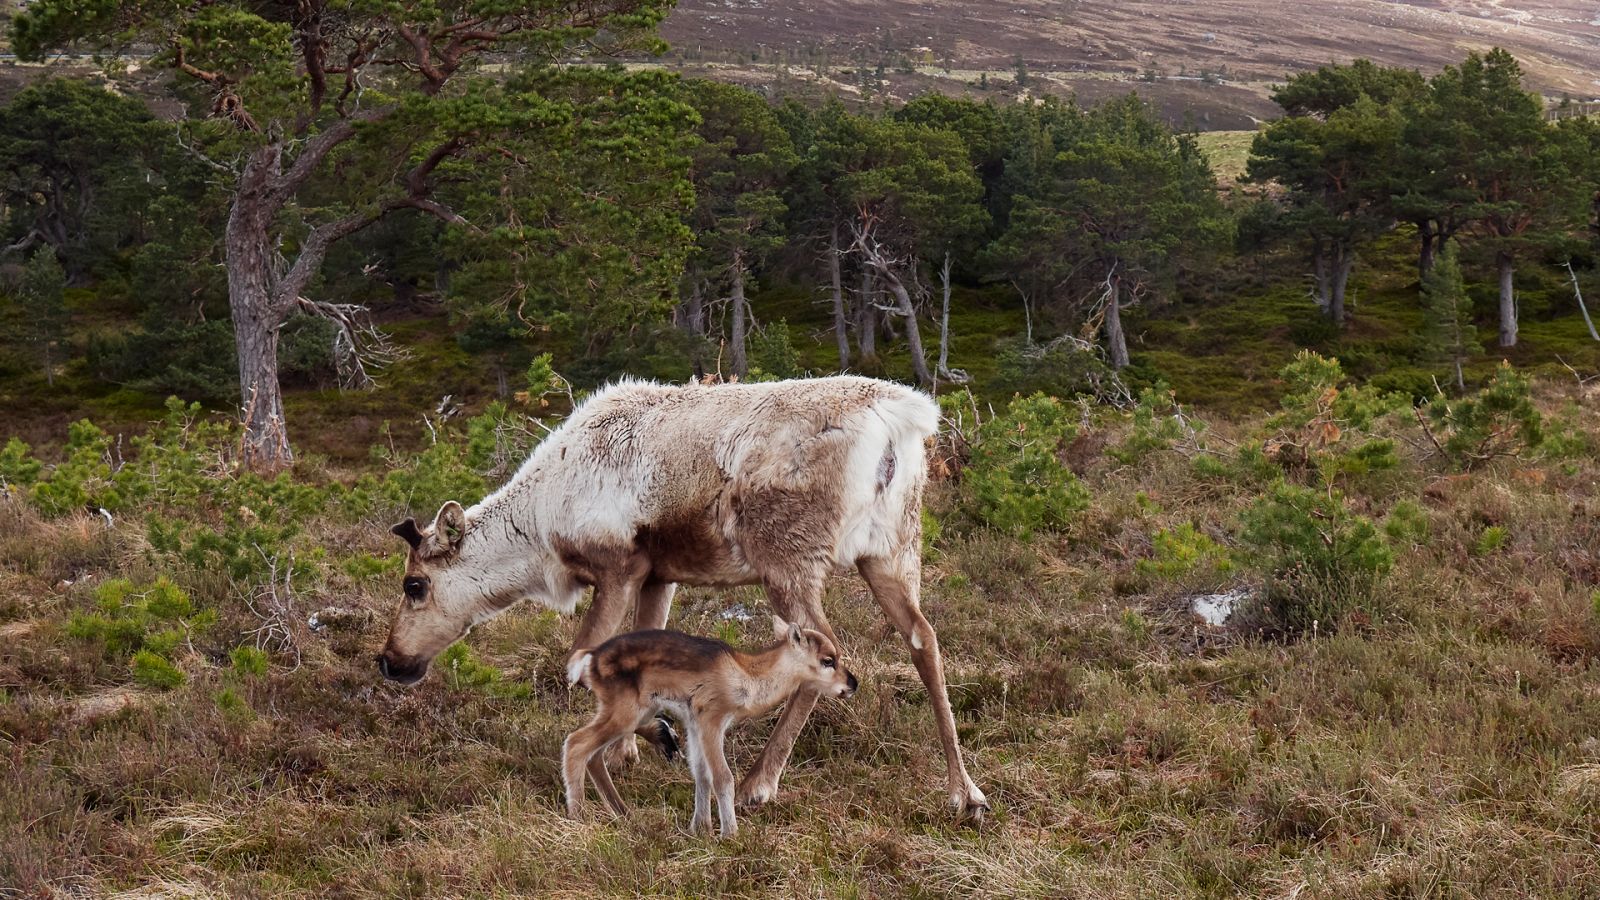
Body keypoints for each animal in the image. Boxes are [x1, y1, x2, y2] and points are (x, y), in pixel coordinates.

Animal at [569, 614, 857, 832]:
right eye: (828, 660)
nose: (853, 684)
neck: (748, 677)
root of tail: (589, 659)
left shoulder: (693, 725)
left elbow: (701, 774)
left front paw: (700, 828)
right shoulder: (711, 721)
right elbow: (723, 777)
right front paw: (730, 834)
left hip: (626, 713)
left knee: (593, 755)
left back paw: (623, 813)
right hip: (625, 714)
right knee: (576, 744)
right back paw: (579, 816)